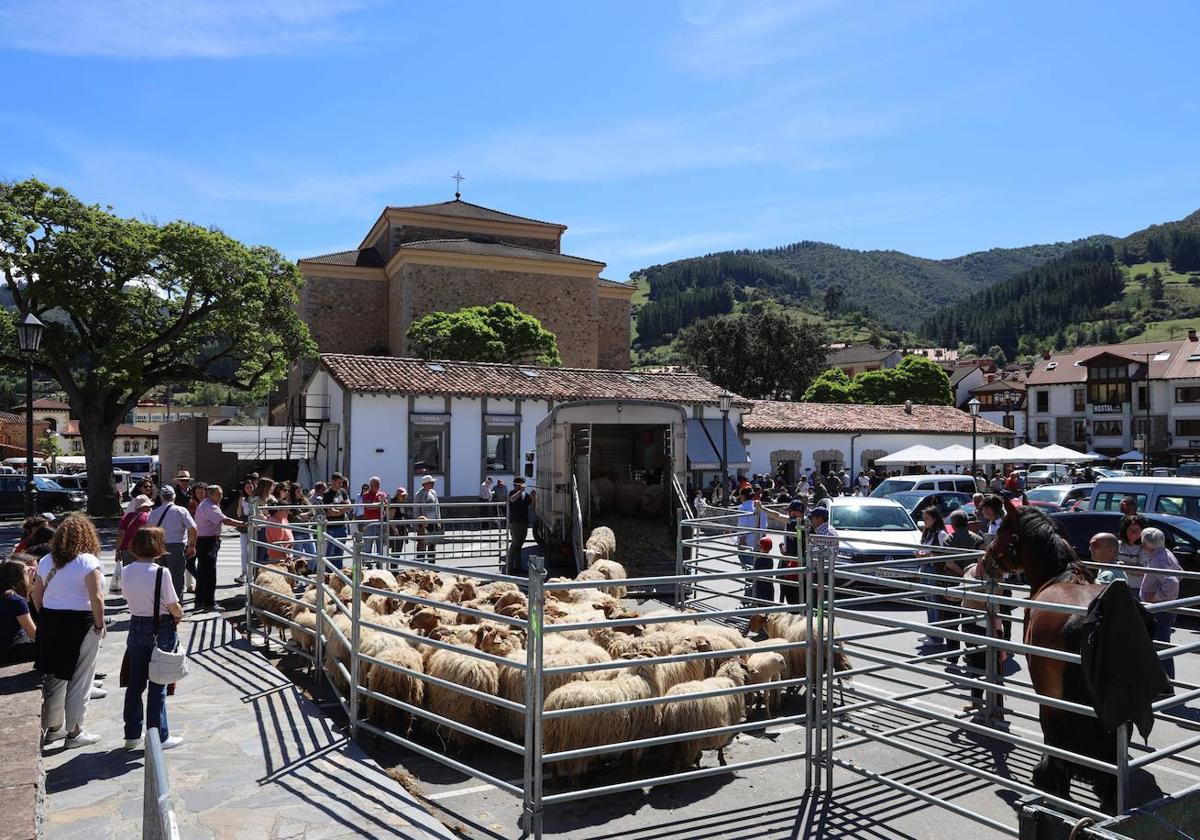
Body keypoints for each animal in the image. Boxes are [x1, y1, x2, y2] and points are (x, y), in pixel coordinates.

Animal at [979, 499, 1108, 816]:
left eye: (1003, 530)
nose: (986, 561)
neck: (1058, 573)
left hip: (1051, 696)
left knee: (1055, 736)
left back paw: (1054, 785)